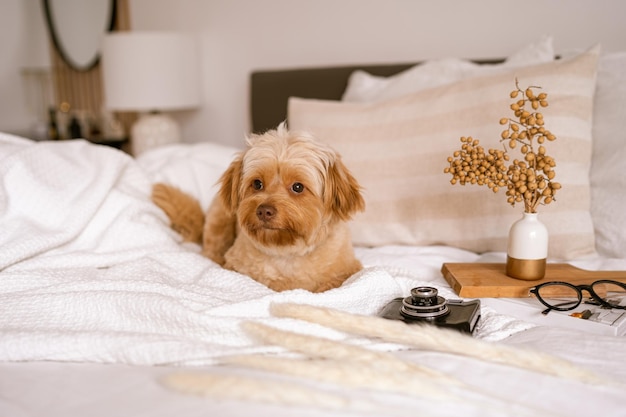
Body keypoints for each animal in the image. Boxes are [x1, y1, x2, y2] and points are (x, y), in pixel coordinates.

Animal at [151, 123, 364, 290]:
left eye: (297, 187)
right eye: (257, 184)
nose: (264, 211)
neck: (285, 253)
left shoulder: (347, 271)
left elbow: (327, 285)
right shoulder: (235, 267)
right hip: (219, 218)